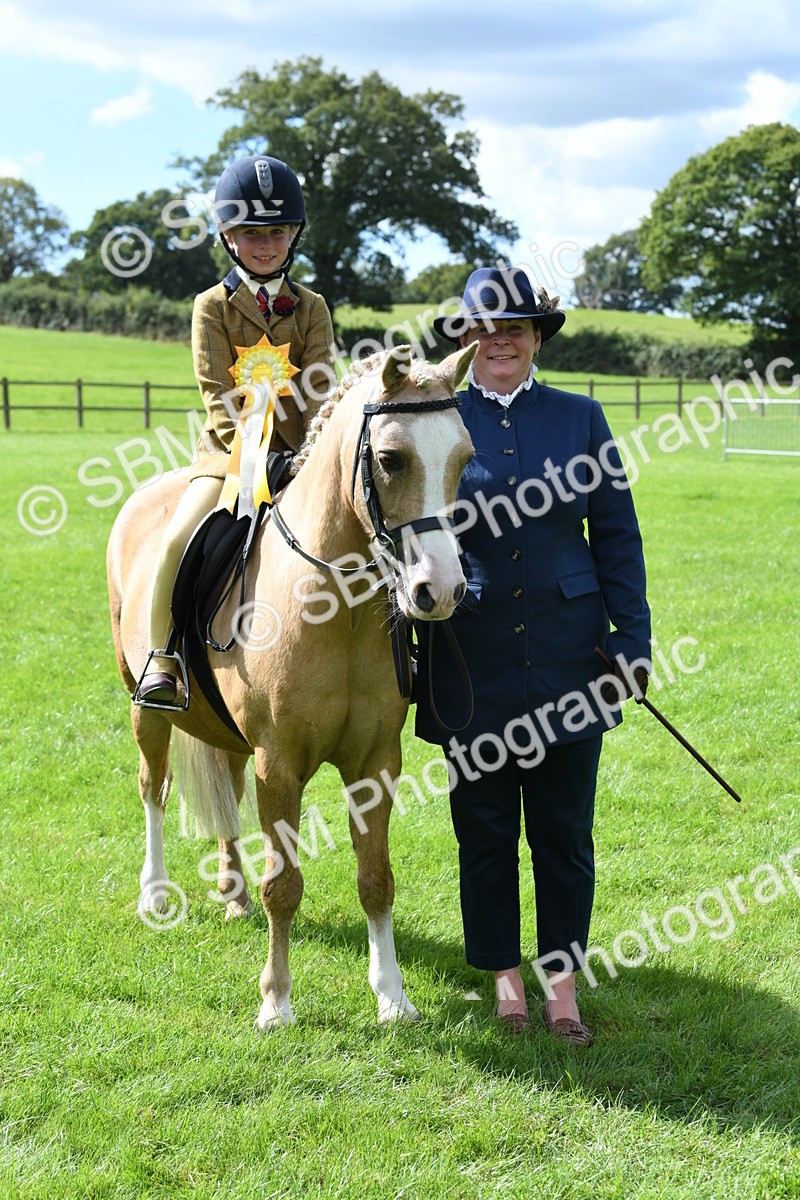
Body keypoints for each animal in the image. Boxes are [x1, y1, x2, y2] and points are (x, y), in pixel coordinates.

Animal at [107, 342, 477, 1028]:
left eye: (465, 458)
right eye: (391, 459)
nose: (440, 592)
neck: (337, 606)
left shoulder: (374, 763)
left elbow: (376, 879)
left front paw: (393, 997)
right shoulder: (278, 764)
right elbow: (284, 885)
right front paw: (276, 1002)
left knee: (224, 791)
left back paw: (231, 893)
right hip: (146, 707)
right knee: (154, 788)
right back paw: (155, 896)